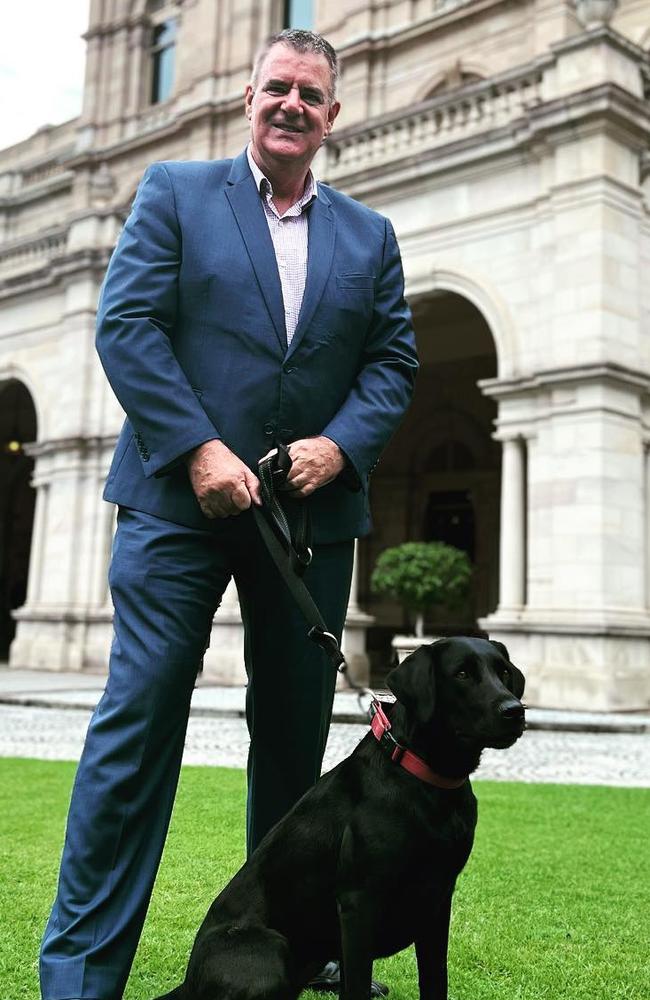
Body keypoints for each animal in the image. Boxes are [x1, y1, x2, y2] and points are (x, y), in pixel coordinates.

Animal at [154, 640, 524, 1000]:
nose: (516, 710)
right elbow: (357, 986)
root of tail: (188, 982)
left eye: (504, 672)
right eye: (462, 673)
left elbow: (435, 981)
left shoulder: (437, 900)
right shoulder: (359, 902)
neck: (425, 780)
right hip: (273, 949)